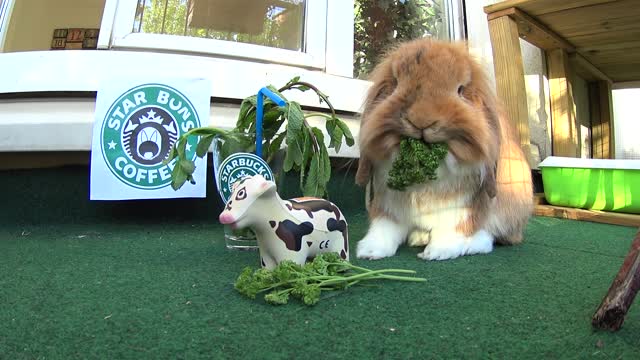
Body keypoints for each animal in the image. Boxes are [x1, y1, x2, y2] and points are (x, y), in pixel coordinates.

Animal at [358, 38, 532, 260]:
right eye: (396, 83)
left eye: (460, 90)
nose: (421, 120)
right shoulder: (388, 203)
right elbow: (384, 226)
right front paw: (369, 251)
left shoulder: (462, 208)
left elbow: (454, 228)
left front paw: (438, 252)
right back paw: (418, 237)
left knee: (488, 237)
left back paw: (469, 245)